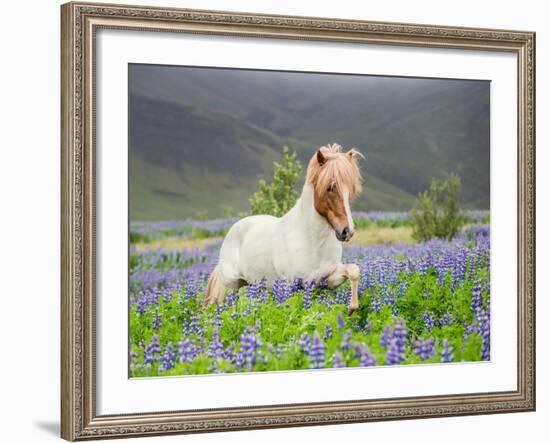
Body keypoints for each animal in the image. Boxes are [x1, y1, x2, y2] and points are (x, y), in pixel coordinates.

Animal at [205, 145, 364, 312]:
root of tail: (234, 229)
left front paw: (351, 308)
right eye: (330, 187)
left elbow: (354, 270)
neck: (313, 242)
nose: (347, 231)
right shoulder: (290, 285)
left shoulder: (328, 279)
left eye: (350, 190)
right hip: (232, 284)